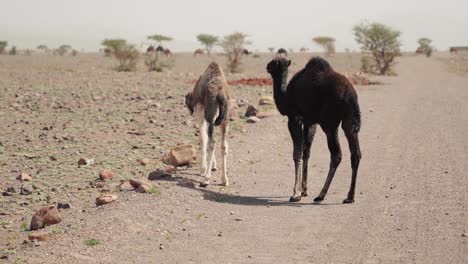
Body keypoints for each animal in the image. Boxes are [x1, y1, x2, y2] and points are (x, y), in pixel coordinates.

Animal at [266, 56, 362, 203]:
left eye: (273, 63)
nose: (266, 66)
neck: (286, 98)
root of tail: (350, 95)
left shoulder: (294, 118)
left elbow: (297, 153)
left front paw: (296, 193)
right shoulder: (310, 122)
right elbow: (306, 152)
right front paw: (304, 190)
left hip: (329, 123)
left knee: (336, 155)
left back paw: (321, 195)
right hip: (349, 121)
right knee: (355, 154)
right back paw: (349, 197)